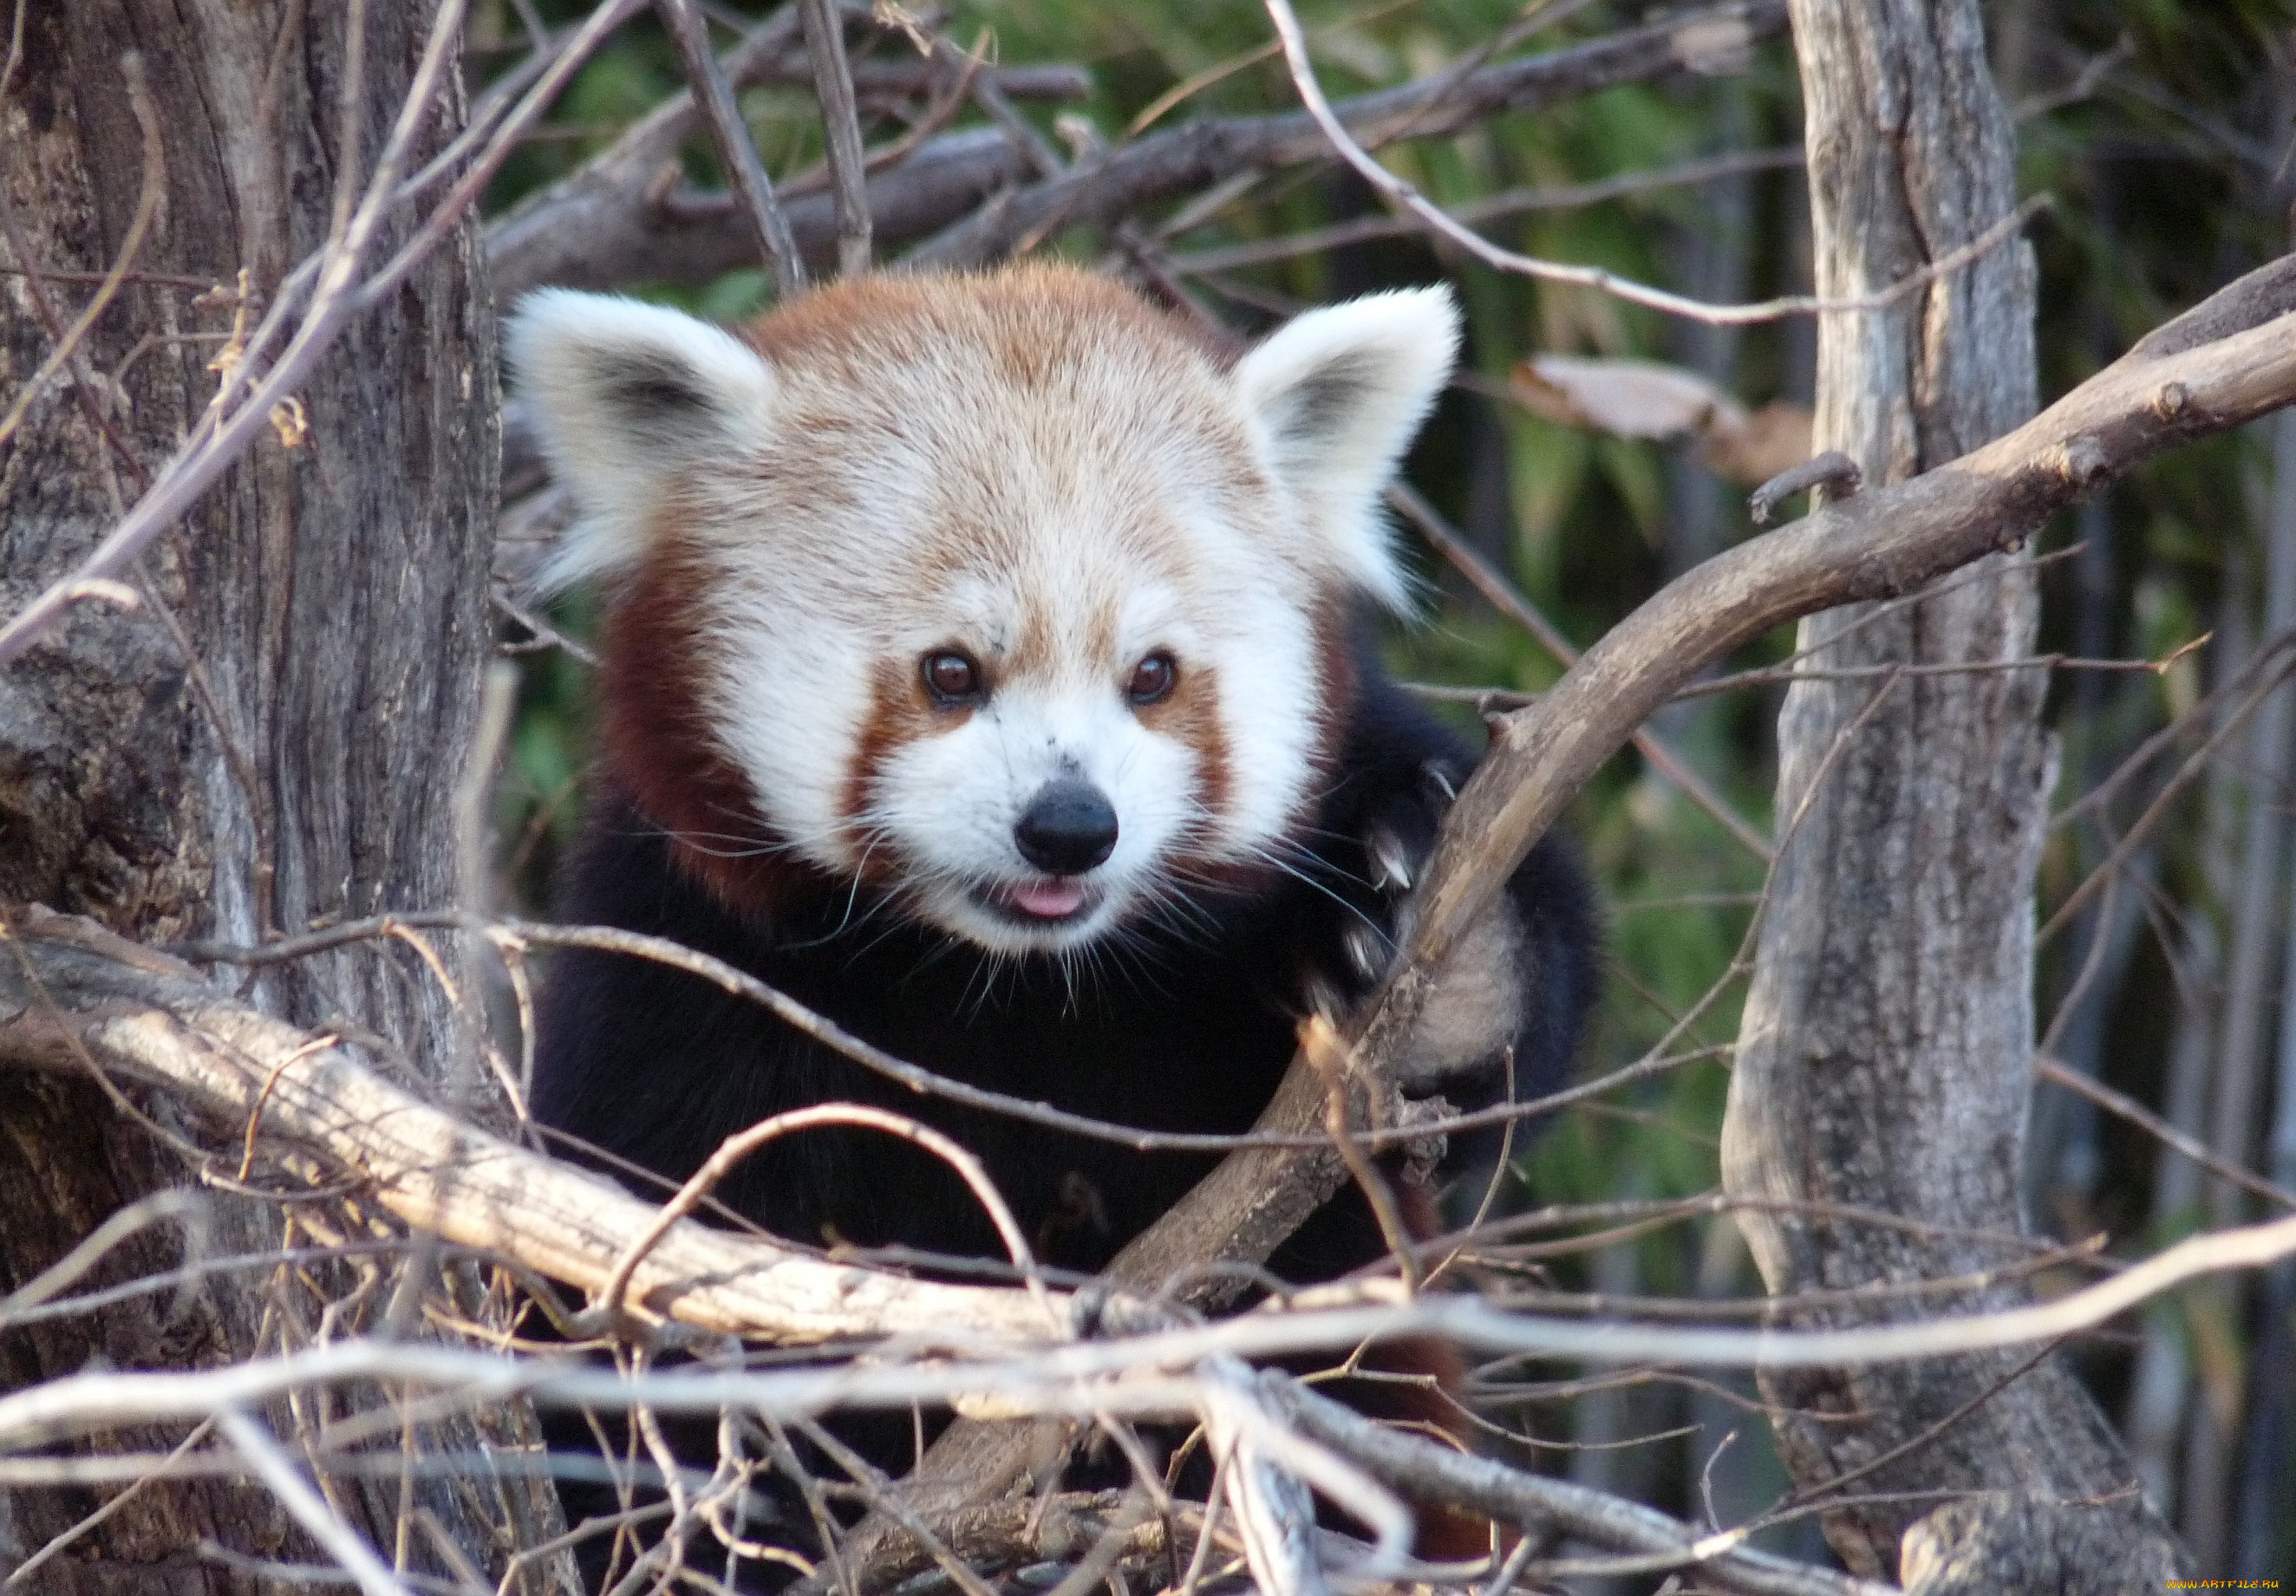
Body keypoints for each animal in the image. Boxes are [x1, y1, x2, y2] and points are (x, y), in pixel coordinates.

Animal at [516, 261, 1598, 1570]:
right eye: (949, 672)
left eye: (1152, 676)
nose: (1071, 827)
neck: (1017, 984)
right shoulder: (670, 962)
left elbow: (1480, 1107)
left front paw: (1442, 935)